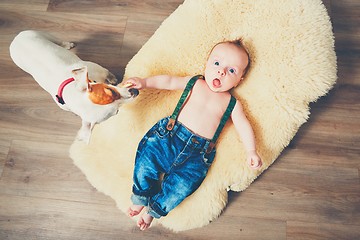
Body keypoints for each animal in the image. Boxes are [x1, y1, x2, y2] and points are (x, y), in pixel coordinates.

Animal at [9, 29, 139, 142]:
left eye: (110, 90)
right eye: (116, 112)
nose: (134, 91)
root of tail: (15, 39)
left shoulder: (96, 68)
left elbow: (106, 72)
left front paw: (112, 78)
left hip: (39, 34)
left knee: (55, 39)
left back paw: (67, 44)